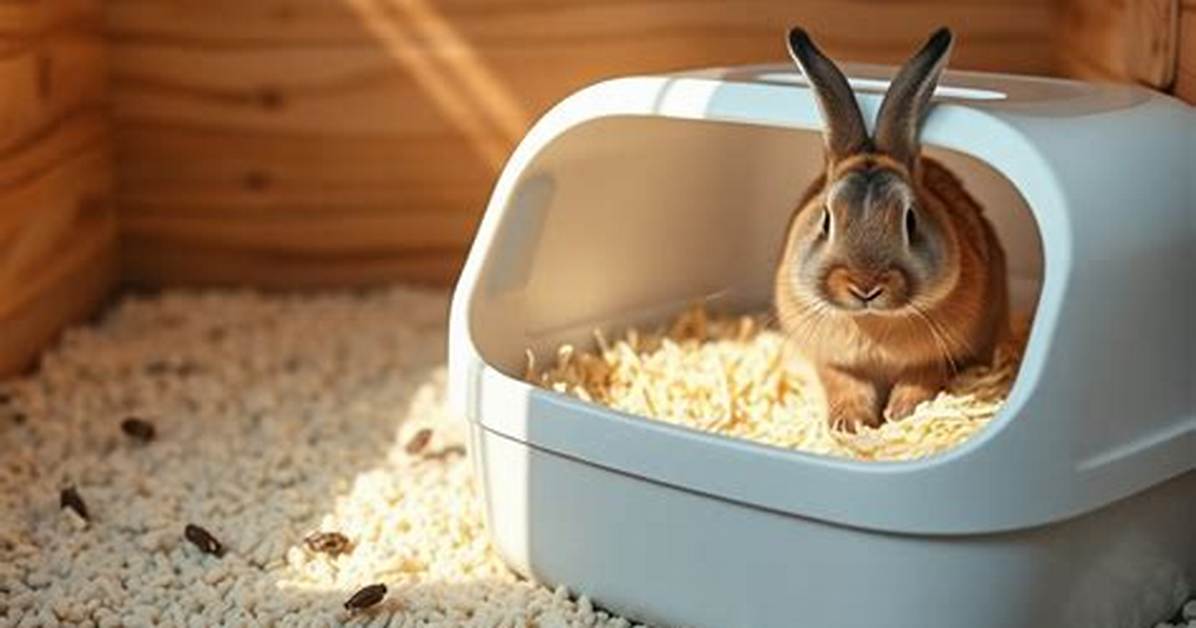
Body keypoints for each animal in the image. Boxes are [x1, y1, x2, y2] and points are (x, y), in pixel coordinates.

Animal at [774, 26, 1009, 432]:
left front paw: (902, 412)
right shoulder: (833, 362)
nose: (865, 287)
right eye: (826, 219)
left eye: (910, 220)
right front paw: (851, 422)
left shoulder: (938, 356)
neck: (873, 320)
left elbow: (921, 378)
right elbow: (845, 383)